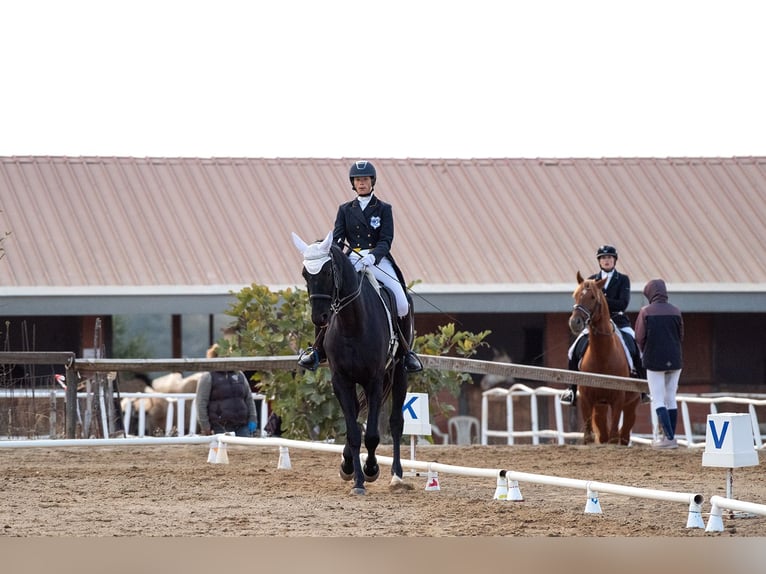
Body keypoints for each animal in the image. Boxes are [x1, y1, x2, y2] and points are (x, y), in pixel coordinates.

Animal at [292, 232, 412, 498]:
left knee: (396, 422)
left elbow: (372, 435)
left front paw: (371, 470)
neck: (352, 324)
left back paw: (397, 476)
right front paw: (356, 478)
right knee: (356, 414)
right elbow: (354, 432)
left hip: (398, 372)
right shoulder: (341, 380)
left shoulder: (374, 380)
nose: (319, 318)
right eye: (305, 274)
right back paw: (348, 463)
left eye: (328, 272)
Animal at [568, 274, 640, 446]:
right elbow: (589, 437)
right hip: (600, 406)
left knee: (623, 435)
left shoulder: (618, 400)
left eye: (593, 297)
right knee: (603, 435)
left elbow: (613, 437)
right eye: (575, 295)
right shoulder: (586, 399)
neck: (602, 356)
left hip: (630, 404)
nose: (575, 322)